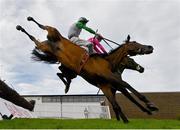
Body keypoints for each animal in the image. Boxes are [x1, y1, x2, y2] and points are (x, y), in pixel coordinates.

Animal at [17, 16, 158, 122]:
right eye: (134, 42)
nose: (150, 47)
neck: (109, 62)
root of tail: (52, 42)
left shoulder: (106, 86)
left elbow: (117, 103)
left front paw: (128, 119)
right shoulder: (109, 78)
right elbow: (126, 85)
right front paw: (150, 105)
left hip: (45, 48)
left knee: (35, 41)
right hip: (53, 33)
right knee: (44, 27)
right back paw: (26, 22)